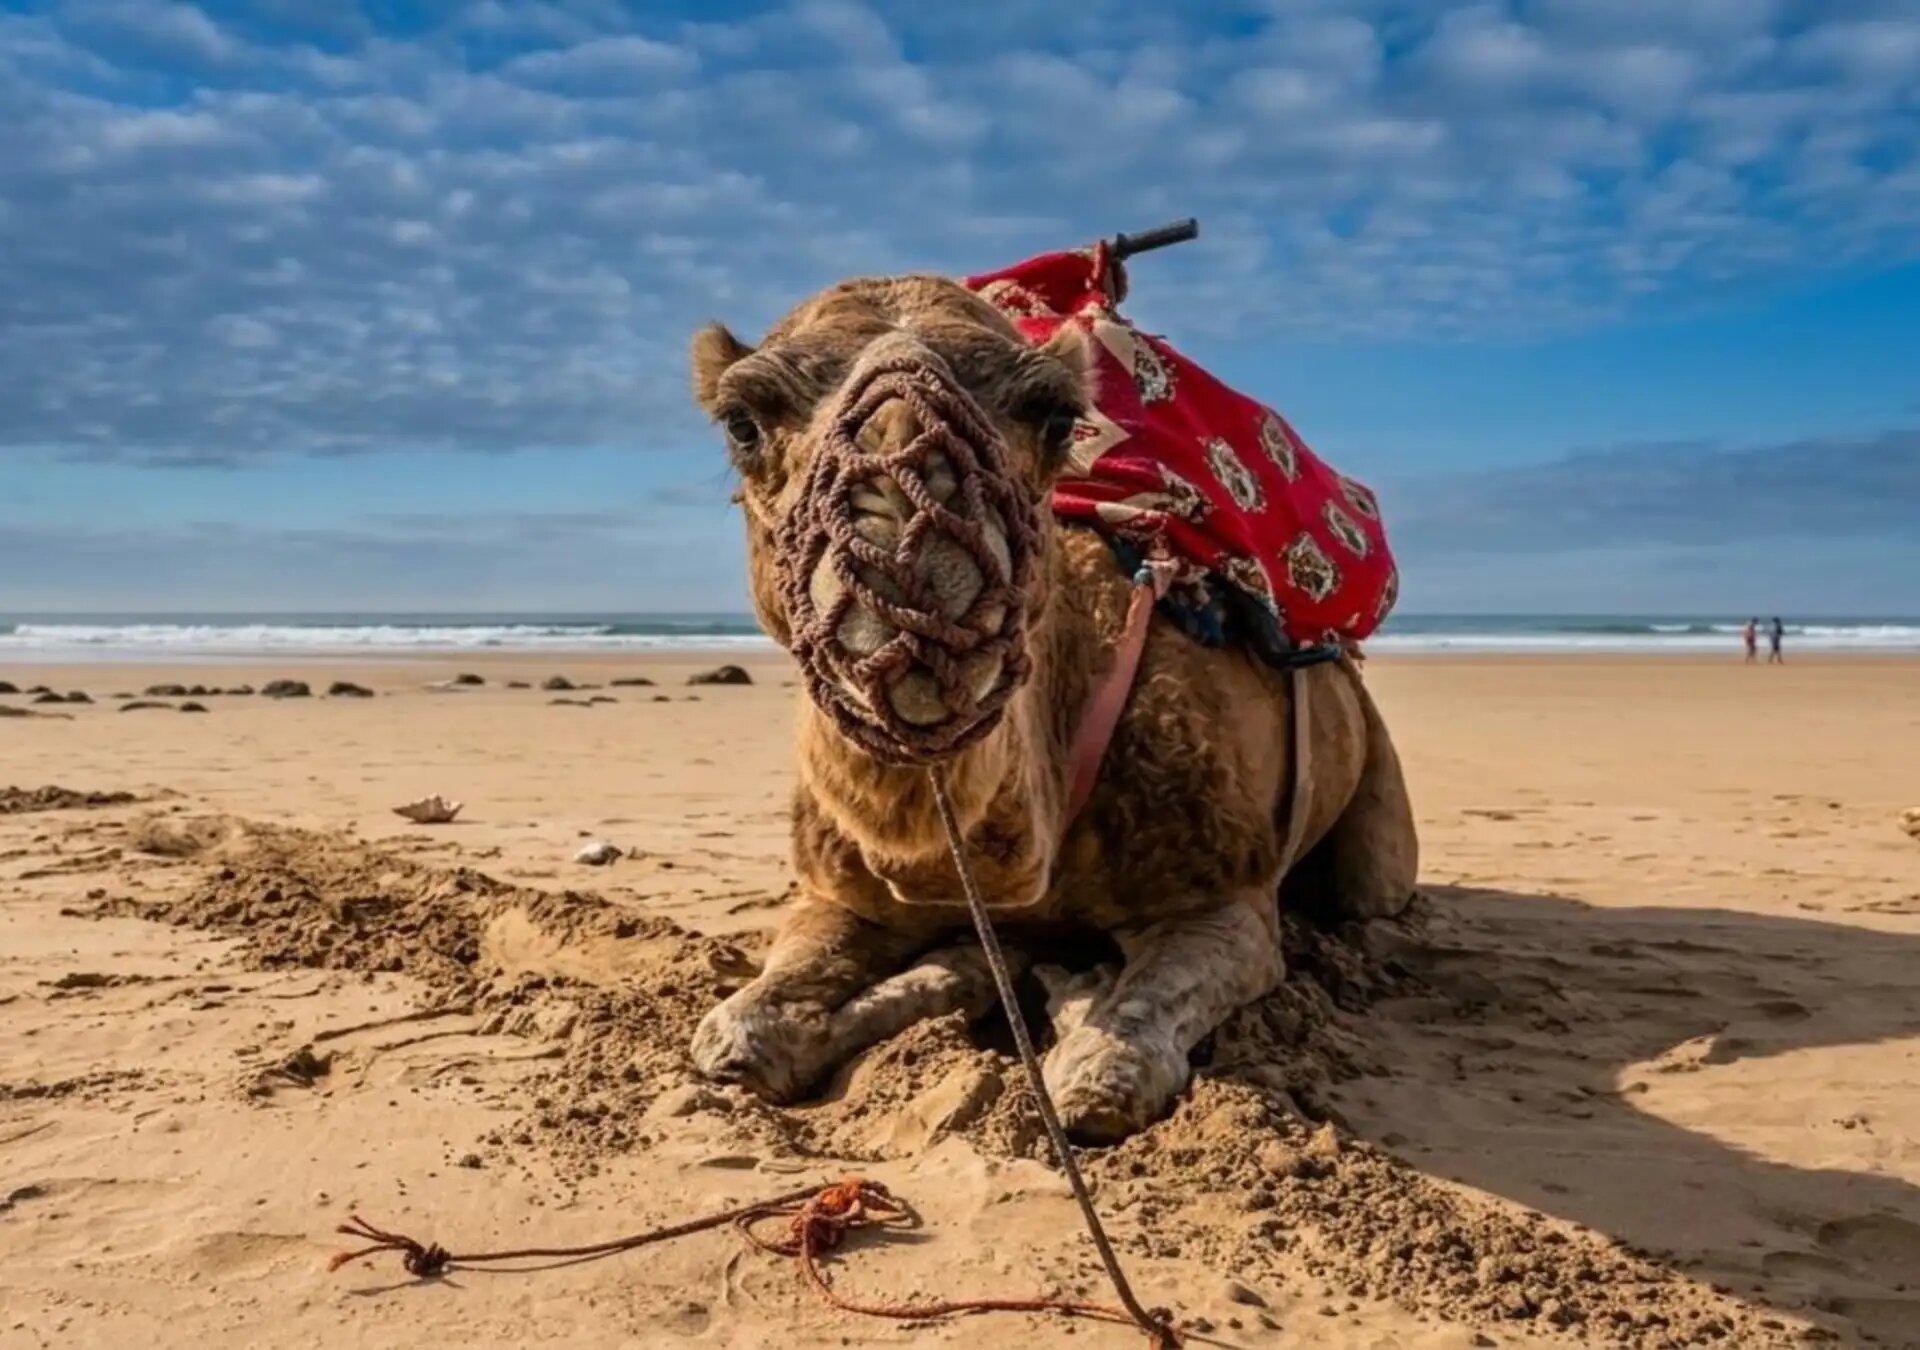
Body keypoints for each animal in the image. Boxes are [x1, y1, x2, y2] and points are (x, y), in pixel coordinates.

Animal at [686, 272, 1419, 1141]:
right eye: (742, 421)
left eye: (1057, 415)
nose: (905, 539)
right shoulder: (837, 893)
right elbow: (737, 1037)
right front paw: (971, 966)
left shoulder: (1223, 901)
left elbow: (1108, 1073)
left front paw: (1069, 993)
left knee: (1371, 894)